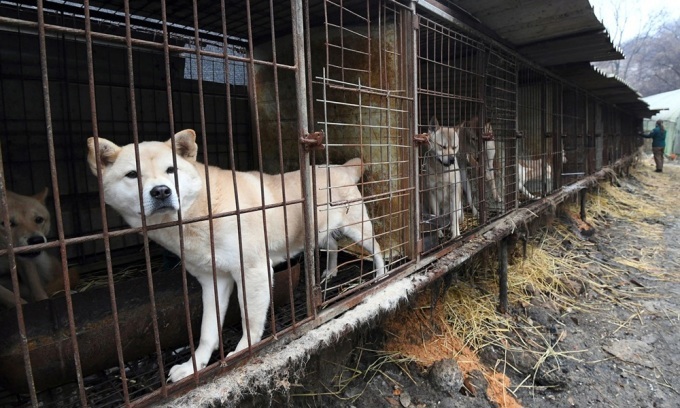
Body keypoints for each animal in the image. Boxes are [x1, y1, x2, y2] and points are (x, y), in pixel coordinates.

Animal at [85, 130, 386, 382]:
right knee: (333, 247)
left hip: (358, 229)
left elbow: (249, 320)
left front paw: (242, 352)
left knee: (378, 248)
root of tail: (341, 167)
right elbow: (207, 331)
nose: (161, 191)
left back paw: (380, 276)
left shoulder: (252, 271)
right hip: (320, 232)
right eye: (132, 175)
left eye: (171, 170)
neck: (202, 212)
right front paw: (194, 366)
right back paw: (331, 272)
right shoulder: (212, 281)